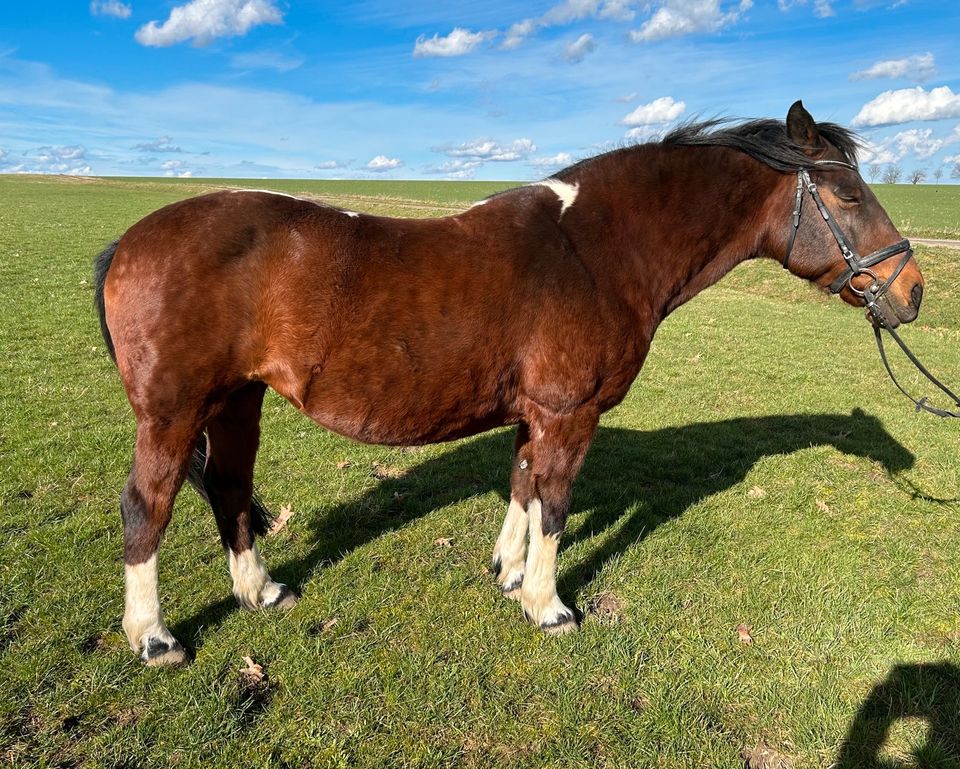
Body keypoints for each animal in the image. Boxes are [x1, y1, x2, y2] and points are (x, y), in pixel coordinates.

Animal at [95, 100, 924, 664]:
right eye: (849, 195)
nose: (913, 290)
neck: (595, 248)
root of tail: (129, 242)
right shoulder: (570, 411)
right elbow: (555, 501)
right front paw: (547, 603)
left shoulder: (536, 411)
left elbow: (523, 484)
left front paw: (509, 571)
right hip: (173, 413)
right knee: (147, 508)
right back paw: (154, 635)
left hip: (237, 399)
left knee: (230, 488)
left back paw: (260, 590)